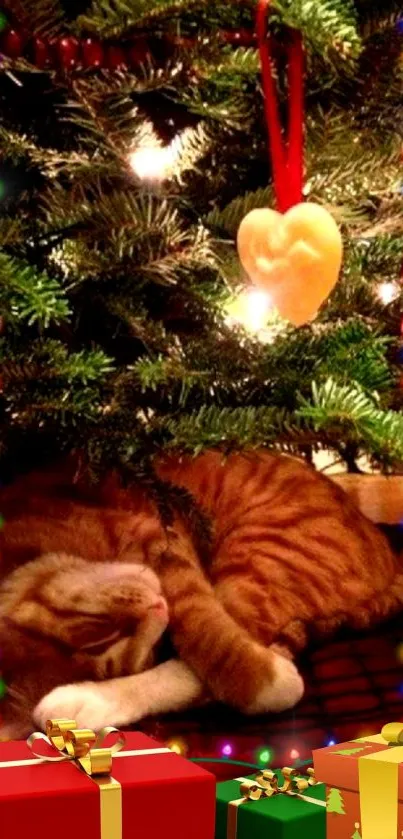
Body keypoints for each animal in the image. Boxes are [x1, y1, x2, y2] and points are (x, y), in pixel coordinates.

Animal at [0, 450, 403, 740]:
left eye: (94, 626)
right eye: (125, 651)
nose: (155, 609)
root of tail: (384, 544)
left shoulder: (163, 540)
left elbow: (208, 634)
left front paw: (269, 684)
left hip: (262, 553)